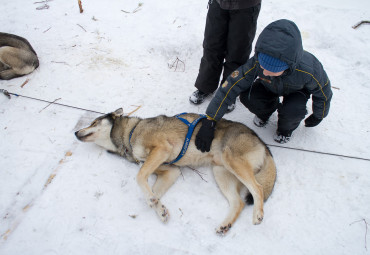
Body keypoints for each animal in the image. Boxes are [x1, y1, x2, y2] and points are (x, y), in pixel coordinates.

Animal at [75, 108, 276, 234]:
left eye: (93, 122)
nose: (76, 133)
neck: (131, 133)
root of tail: (262, 142)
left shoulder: (161, 149)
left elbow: (139, 177)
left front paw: (152, 200)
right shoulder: (171, 171)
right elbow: (152, 193)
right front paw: (159, 209)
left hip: (232, 161)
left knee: (257, 188)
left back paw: (258, 215)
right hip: (221, 173)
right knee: (238, 203)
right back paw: (225, 225)